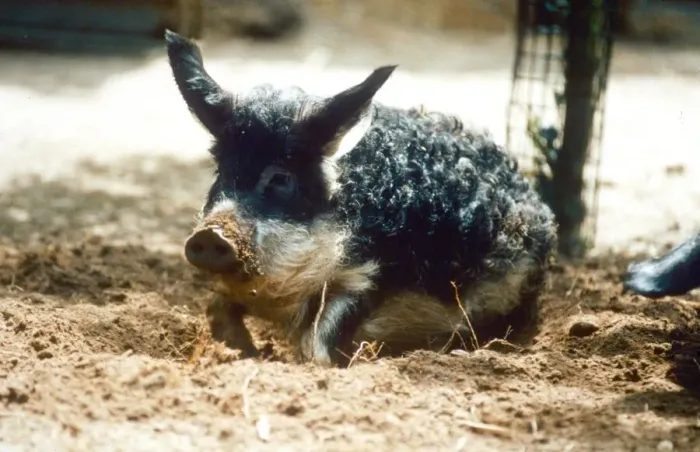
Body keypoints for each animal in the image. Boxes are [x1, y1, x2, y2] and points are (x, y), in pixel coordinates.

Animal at [165, 30, 558, 366]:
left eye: (281, 178)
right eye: (221, 171)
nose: (209, 234)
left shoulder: (372, 276)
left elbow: (317, 340)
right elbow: (216, 307)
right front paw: (243, 350)